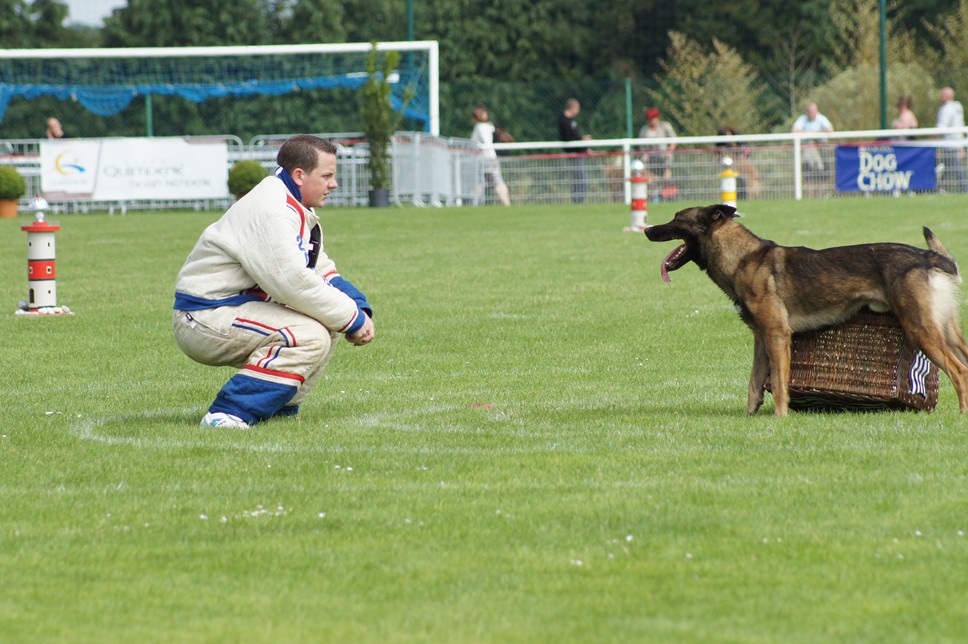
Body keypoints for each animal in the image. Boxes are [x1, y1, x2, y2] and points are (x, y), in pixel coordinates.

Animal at [648, 205, 968, 418]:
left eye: (676, 219)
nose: (646, 229)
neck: (744, 259)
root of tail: (925, 256)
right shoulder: (760, 339)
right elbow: (754, 383)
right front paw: (750, 416)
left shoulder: (777, 335)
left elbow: (778, 382)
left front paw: (780, 418)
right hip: (947, 332)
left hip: (921, 330)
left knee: (959, 371)